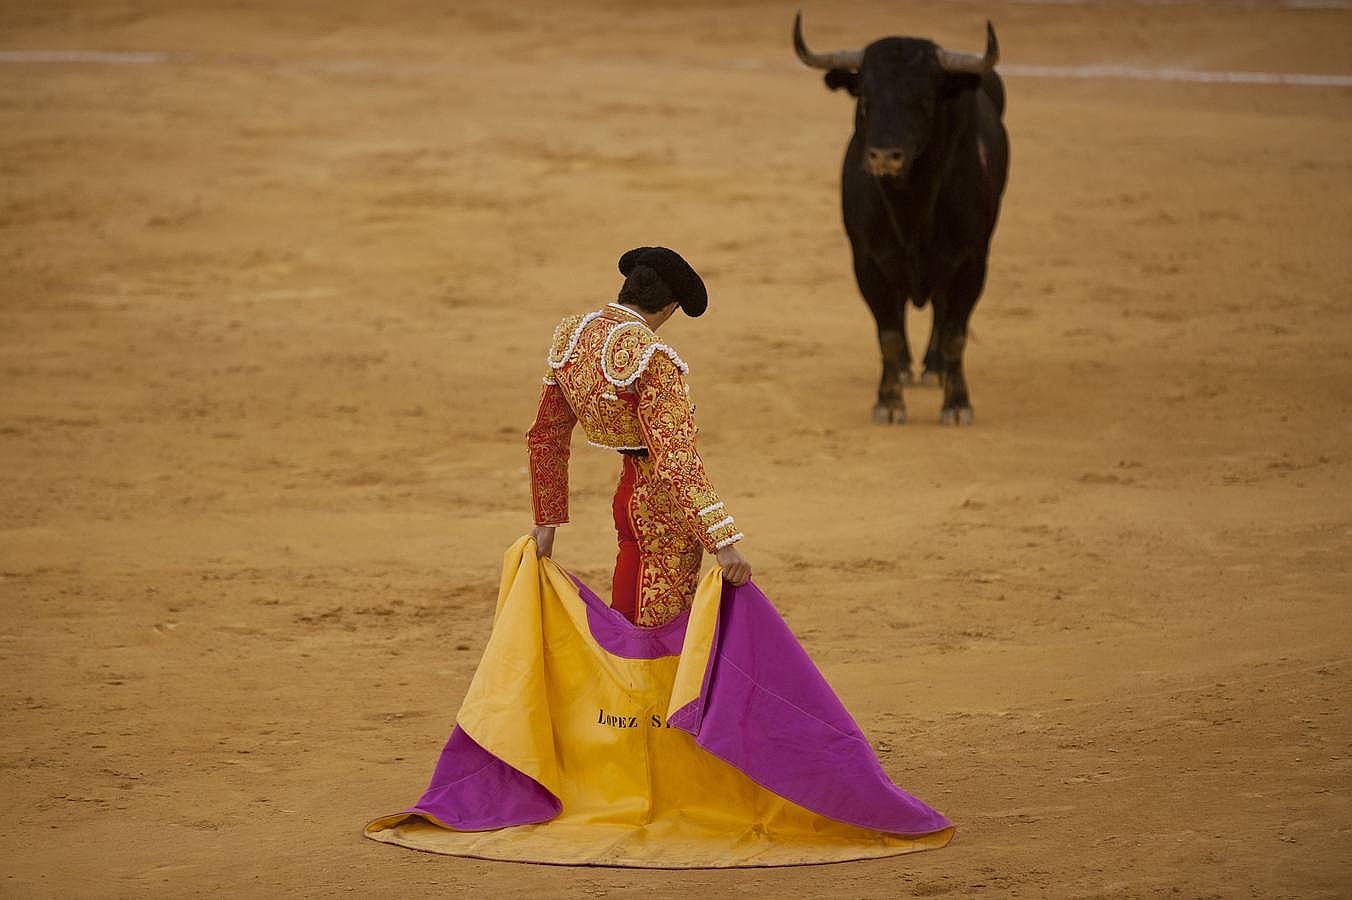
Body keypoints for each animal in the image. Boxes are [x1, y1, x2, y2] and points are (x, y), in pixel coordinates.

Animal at [789, 12, 1005, 421]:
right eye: (865, 98)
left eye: (923, 99)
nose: (884, 156)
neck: (911, 208)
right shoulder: (868, 262)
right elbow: (887, 335)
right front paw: (889, 402)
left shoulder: (973, 262)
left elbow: (956, 335)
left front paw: (957, 403)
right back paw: (908, 368)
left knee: (940, 310)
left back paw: (934, 368)